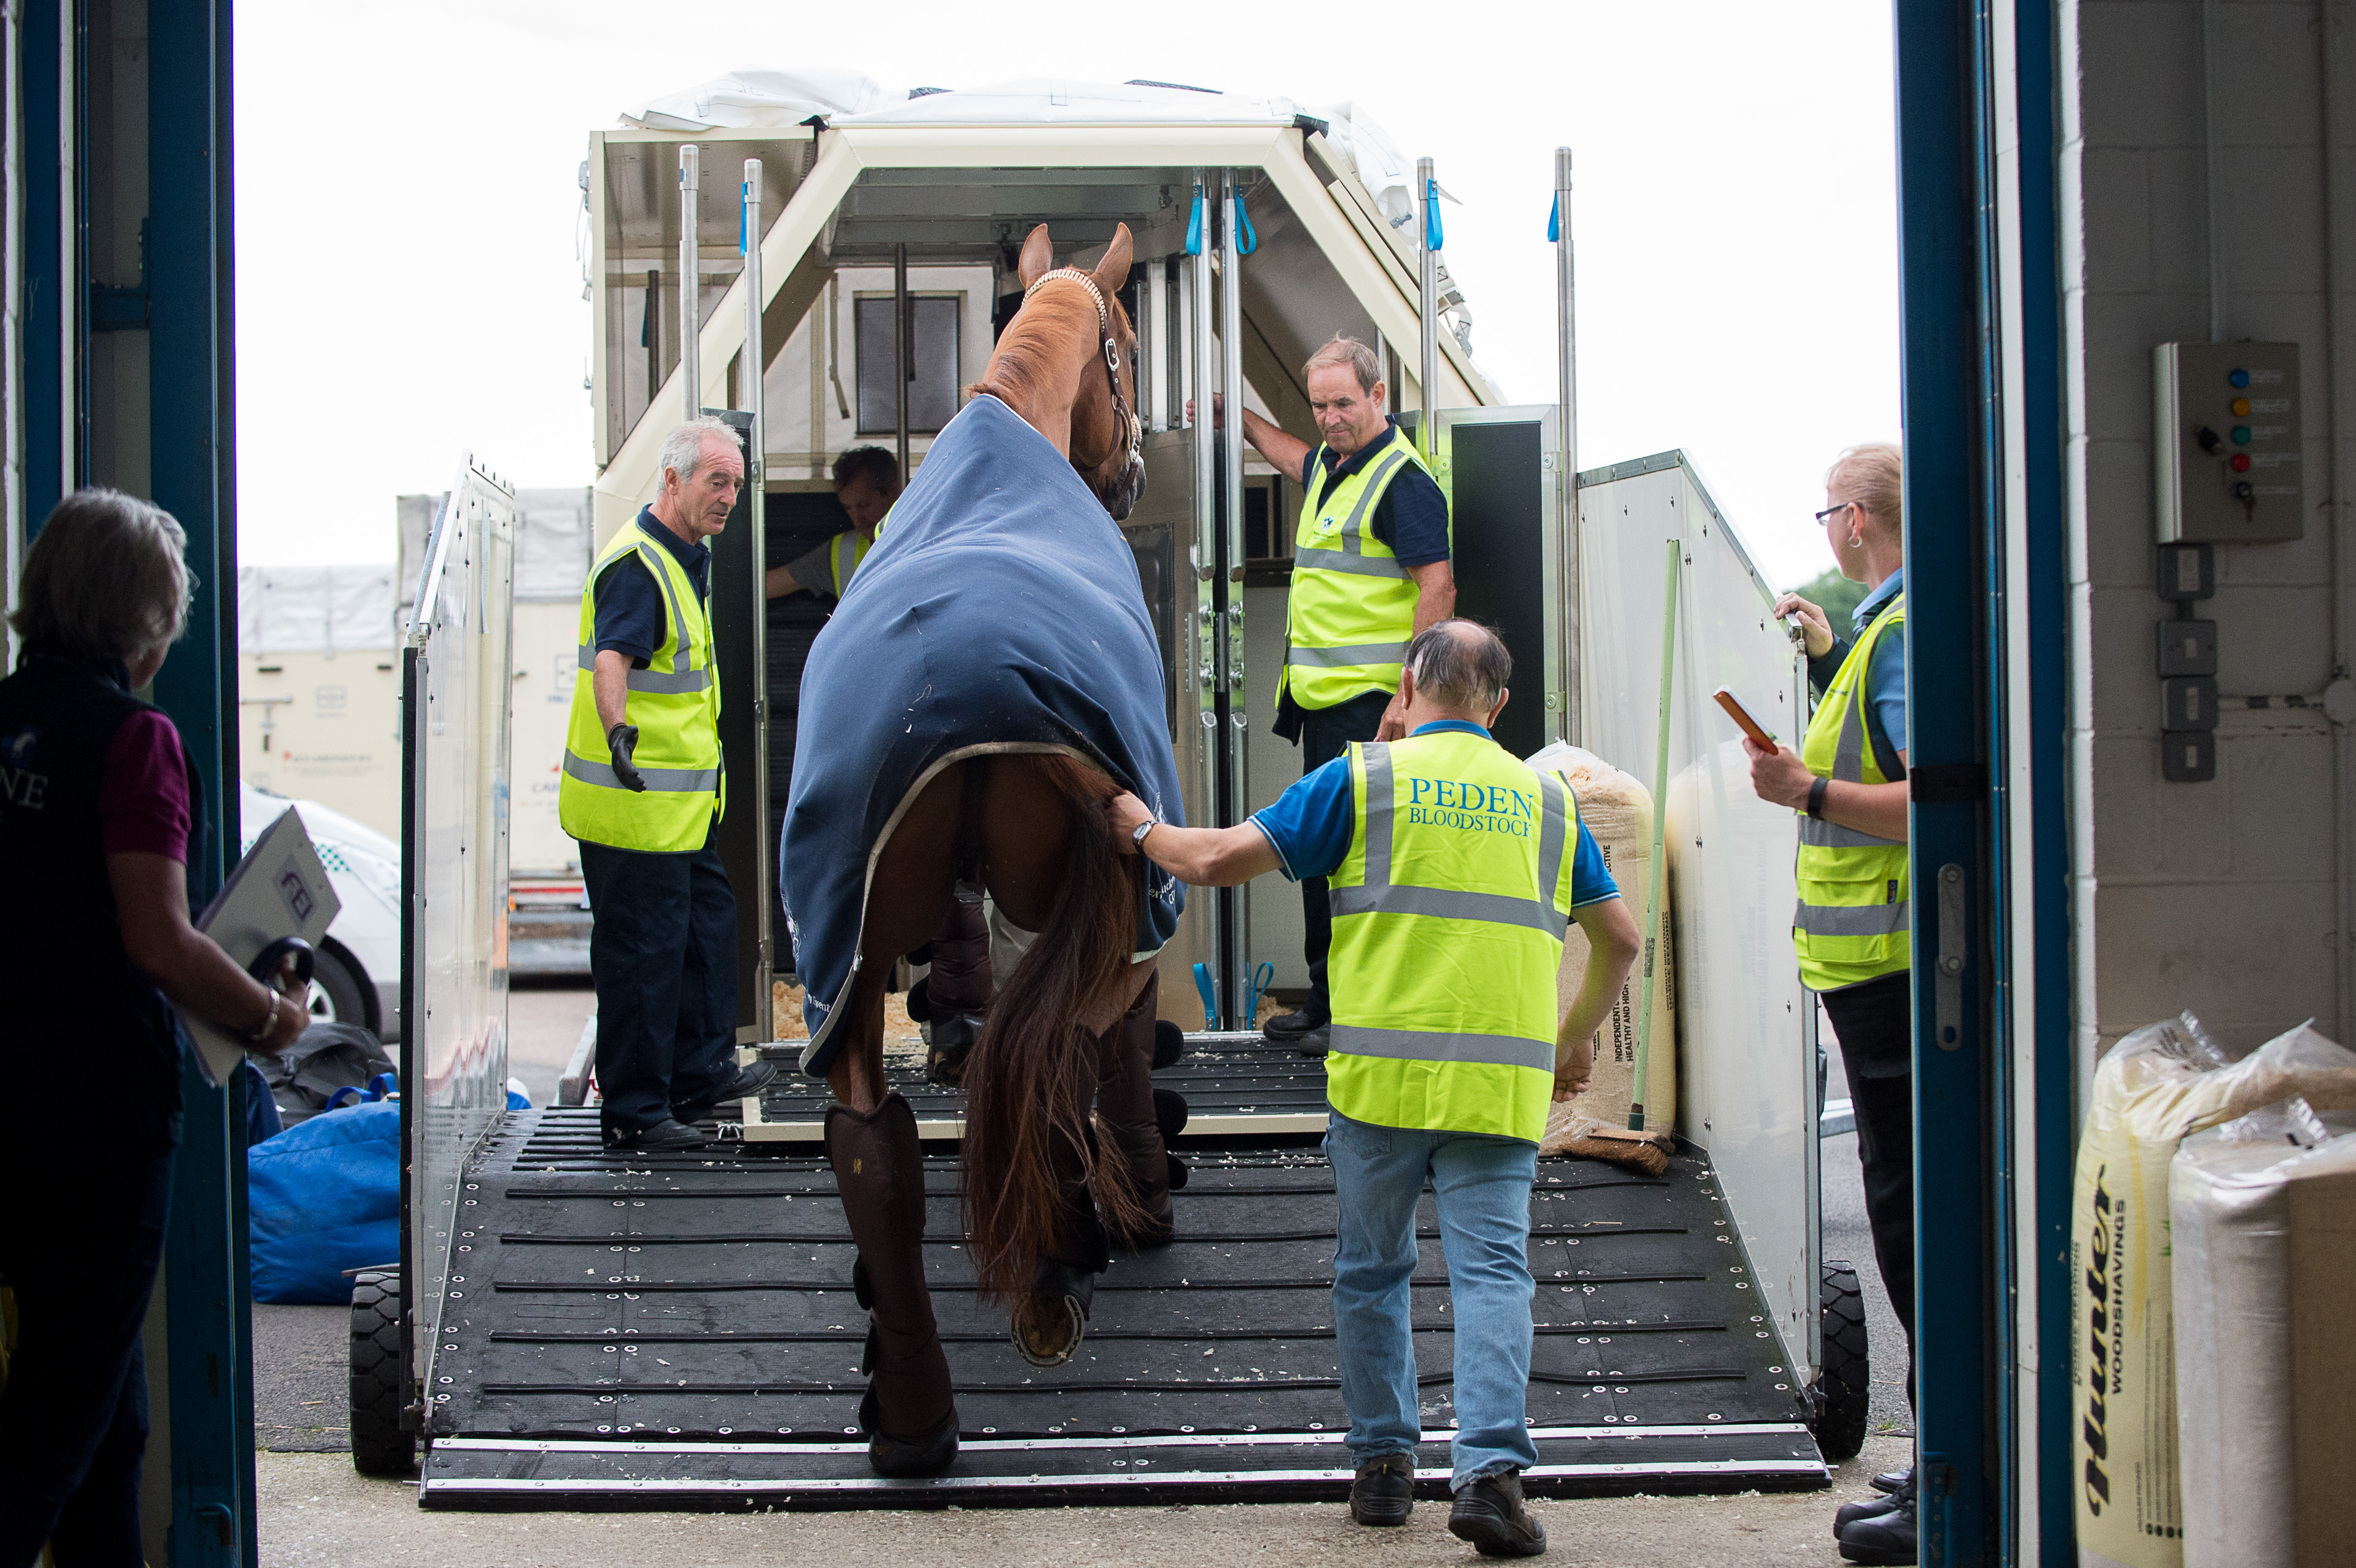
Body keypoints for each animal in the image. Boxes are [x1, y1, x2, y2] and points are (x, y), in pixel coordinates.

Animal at [815, 222, 1173, 1478]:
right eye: (1127, 346)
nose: (1133, 476)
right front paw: (1129, 1203)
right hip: (1101, 893)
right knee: (1074, 1040)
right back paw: (1070, 1254)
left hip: (847, 942)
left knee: (871, 1141)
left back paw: (913, 1410)